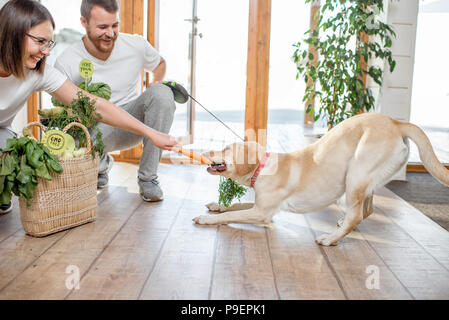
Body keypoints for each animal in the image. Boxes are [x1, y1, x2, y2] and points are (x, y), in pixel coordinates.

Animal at [192, 114, 448, 246]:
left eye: (226, 148)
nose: (204, 151)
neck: (263, 168)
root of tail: (396, 122)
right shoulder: (260, 206)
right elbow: (235, 205)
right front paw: (217, 205)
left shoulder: (263, 213)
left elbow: (230, 216)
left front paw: (206, 219)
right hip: (367, 180)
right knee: (368, 210)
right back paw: (341, 225)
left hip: (356, 174)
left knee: (357, 215)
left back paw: (330, 239)